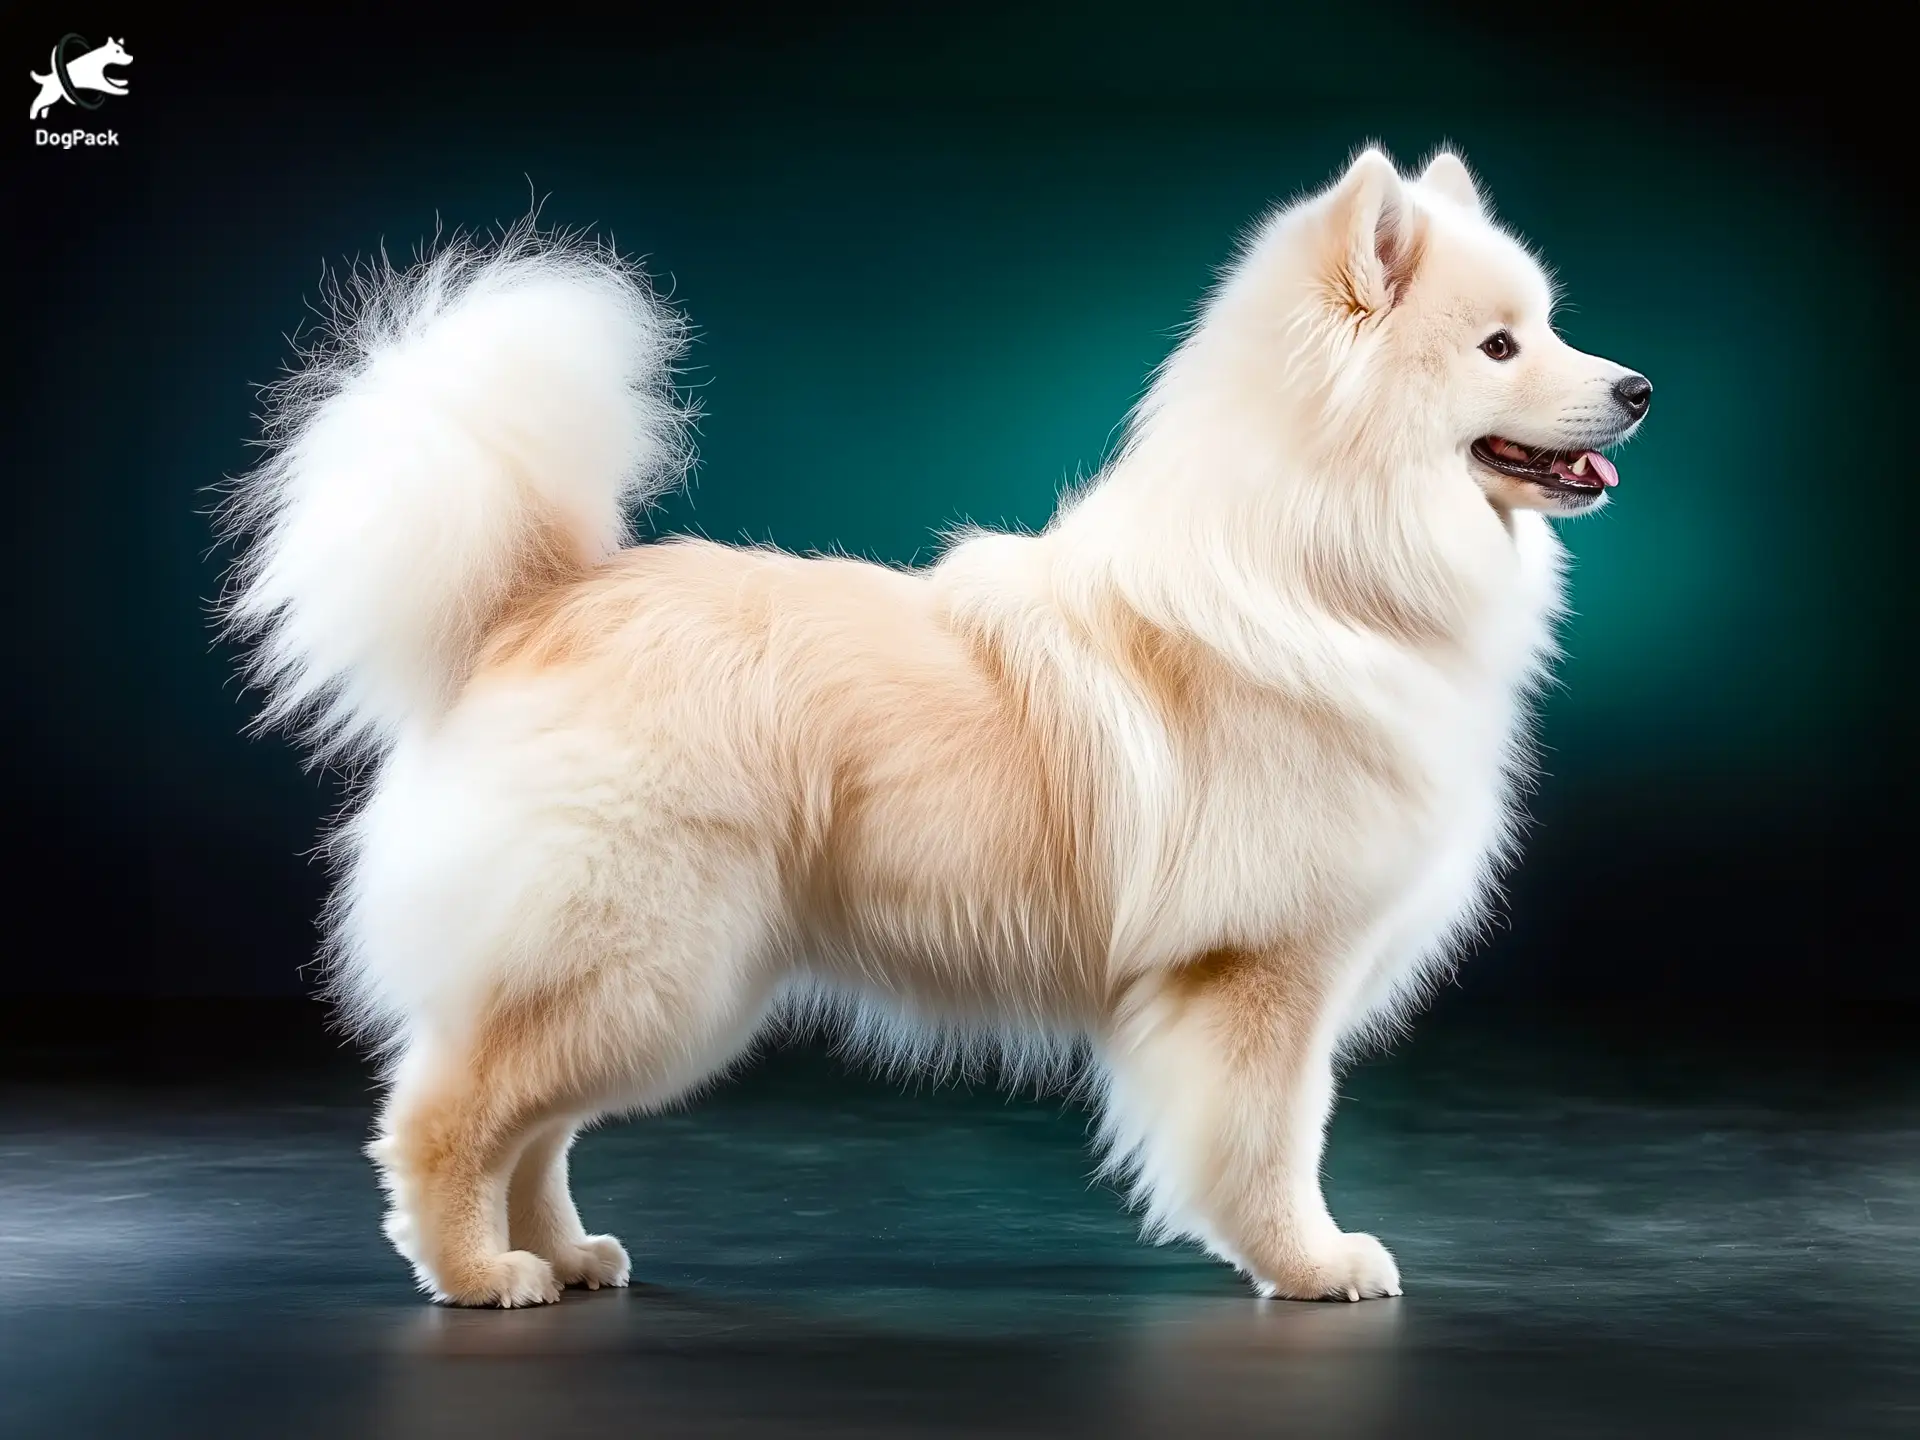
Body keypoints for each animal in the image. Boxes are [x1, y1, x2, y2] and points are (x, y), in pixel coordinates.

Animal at [228, 146, 1651, 1305]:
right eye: (1502, 349)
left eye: (1551, 327)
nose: (1639, 386)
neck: (1324, 561)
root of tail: (535, 602)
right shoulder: (1259, 970)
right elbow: (1268, 1143)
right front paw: (1312, 1266)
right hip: (648, 963)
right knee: (453, 1112)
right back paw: (481, 1275)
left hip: (646, 977)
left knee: (533, 1123)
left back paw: (565, 1255)